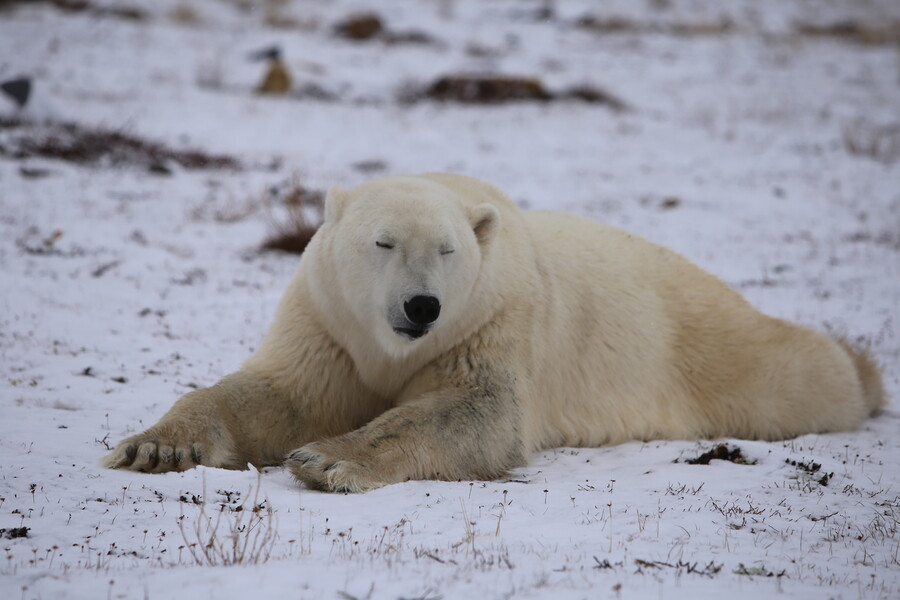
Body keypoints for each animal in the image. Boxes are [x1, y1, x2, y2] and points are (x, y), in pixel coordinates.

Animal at [102, 171, 884, 490]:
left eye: (448, 250)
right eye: (384, 242)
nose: (423, 307)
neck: (393, 348)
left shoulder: (494, 318)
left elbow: (474, 410)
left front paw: (326, 460)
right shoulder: (328, 323)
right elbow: (282, 393)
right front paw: (155, 446)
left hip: (708, 343)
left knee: (795, 373)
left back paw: (863, 369)